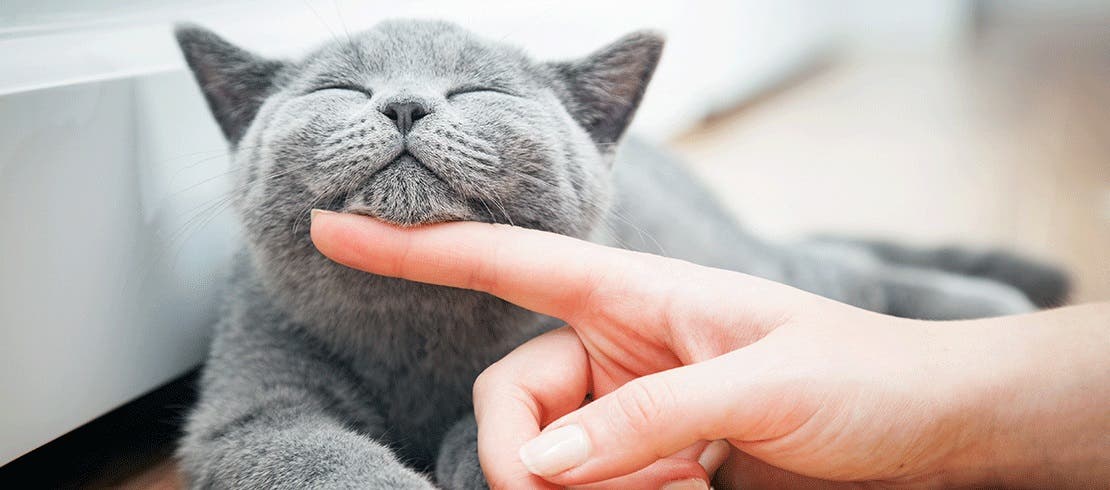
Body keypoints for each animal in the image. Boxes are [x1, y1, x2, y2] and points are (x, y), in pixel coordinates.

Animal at [170, 19, 1065, 488]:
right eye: (340, 91)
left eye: (477, 92)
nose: (405, 103)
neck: (415, 327)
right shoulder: (252, 407)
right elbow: (323, 458)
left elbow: (487, 414)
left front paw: (474, 456)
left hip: (742, 264)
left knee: (841, 272)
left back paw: (996, 314)